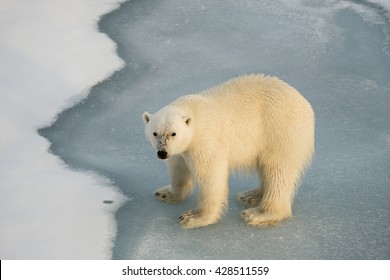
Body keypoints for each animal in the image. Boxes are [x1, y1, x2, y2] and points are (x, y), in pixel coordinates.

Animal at [142, 73, 314, 229]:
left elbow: (211, 174)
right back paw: (250, 196)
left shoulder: (205, 139)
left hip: (279, 130)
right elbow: (179, 170)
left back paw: (258, 213)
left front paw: (193, 217)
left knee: (277, 171)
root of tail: (306, 105)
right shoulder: (180, 151)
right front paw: (166, 193)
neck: (192, 111)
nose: (162, 153)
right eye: (155, 133)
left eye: (173, 133)